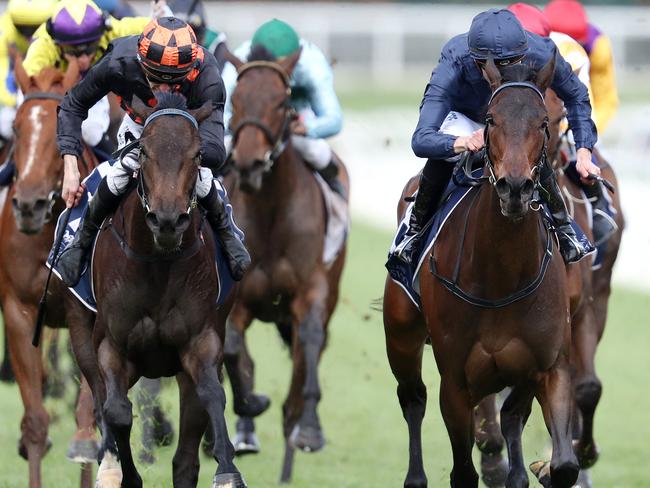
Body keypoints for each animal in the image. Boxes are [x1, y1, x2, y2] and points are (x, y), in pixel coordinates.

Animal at [73, 92, 246, 488]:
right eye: (144, 152)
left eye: (197, 155)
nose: (168, 221)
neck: (158, 263)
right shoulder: (110, 346)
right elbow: (117, 411)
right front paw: (123, 473)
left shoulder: (201, 340)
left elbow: (212, 394)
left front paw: (228, 471)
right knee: (102, 402)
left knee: (185, 458)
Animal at [220, 47, 346, 482]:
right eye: (235, 99)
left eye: (281, 102)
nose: (248, 163)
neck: (271, 213)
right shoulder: (238, 299)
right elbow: (233, 350)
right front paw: (247, 412)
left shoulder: (311, 292)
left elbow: (308, 343)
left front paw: (308, 428)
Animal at [382, 58, 576, 488]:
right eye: (490, 119)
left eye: (543, 122)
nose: (515, 187)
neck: (503, 276)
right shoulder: (455, 383)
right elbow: (463, 471)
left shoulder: (546, 367)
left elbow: (564, 464)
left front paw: (540, 468)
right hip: (401, 337)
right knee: (413, 399)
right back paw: (416, 476)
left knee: (510, 422)